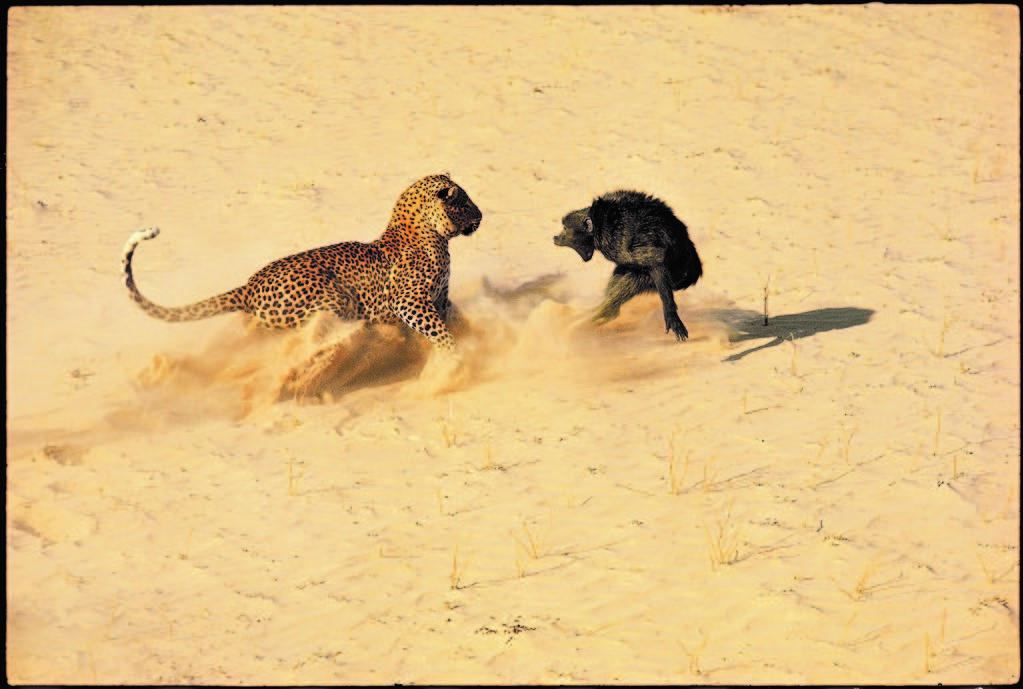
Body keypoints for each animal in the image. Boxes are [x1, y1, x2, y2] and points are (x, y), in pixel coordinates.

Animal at [122, 173, 482, 355]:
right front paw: (457, 357)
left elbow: (451, 319)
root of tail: (248, 286)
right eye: (464, 202)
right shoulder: (409, 301)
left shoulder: (440, 297)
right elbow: (439, 332)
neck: (431, 234)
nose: (480, 216)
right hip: (333, 299)